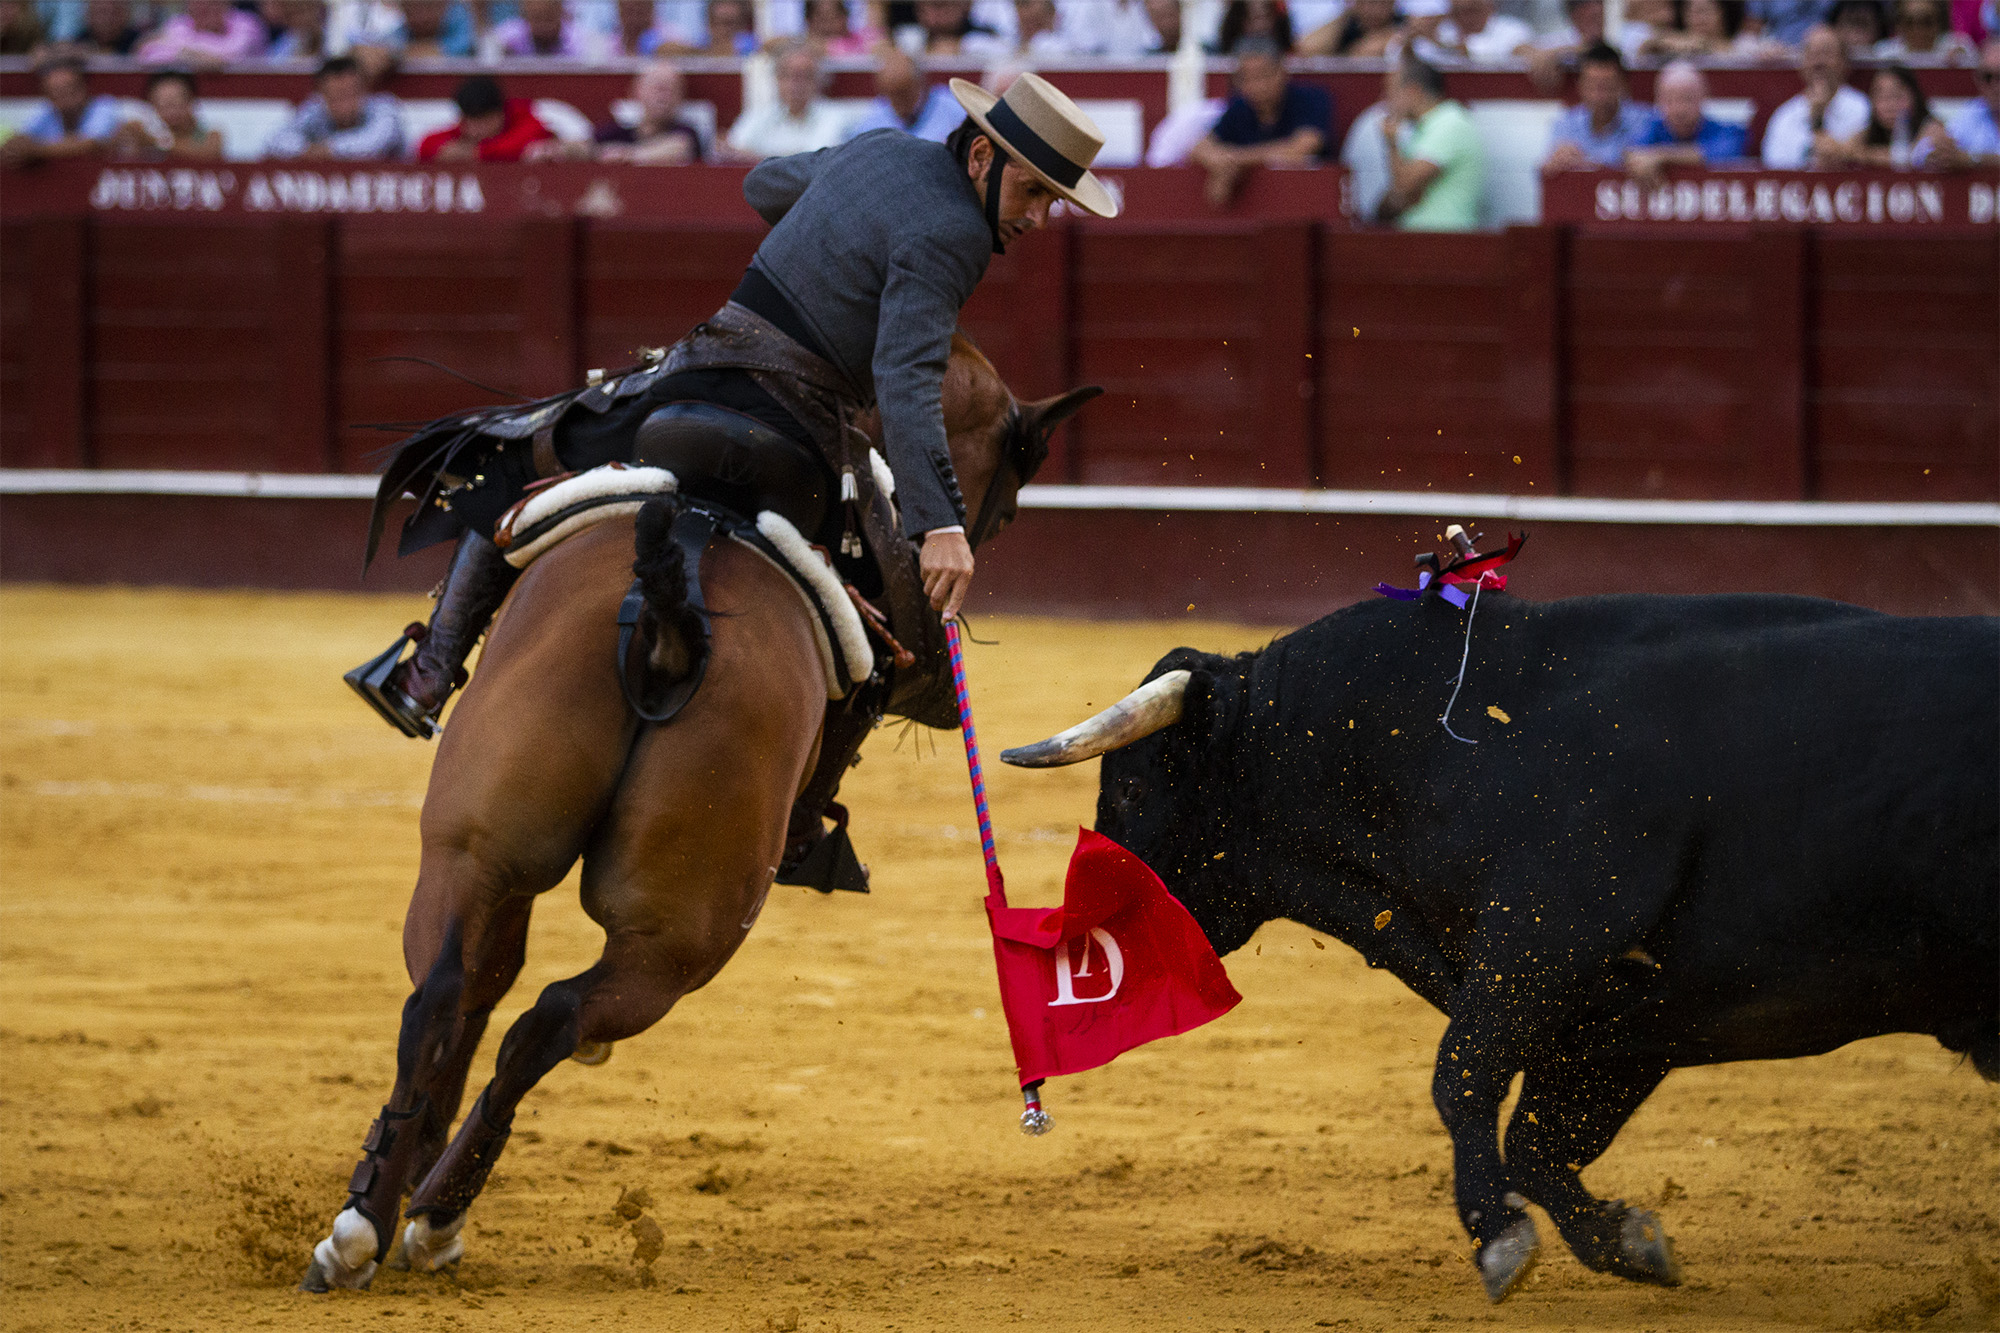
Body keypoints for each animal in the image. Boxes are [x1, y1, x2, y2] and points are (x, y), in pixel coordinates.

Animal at [300, 335, 1099, 1290]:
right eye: (1005, 508)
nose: (942, 687)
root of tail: (671, 613)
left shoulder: (503, 872)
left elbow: (479, 991)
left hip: (482, 853)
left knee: (450, 994)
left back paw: (365, 1224)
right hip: (685, 939)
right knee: (545, 1019)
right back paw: (432, 1217)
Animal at [1000, 589, 1998, 1303]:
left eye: (1131, 794)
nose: (1077, 948)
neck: (1460, 744)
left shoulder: (1546, 944)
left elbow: (1465, 1078)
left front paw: (1500, 1238)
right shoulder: (1619, 1024)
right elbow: (1541, 1140)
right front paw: (1630, 1239)